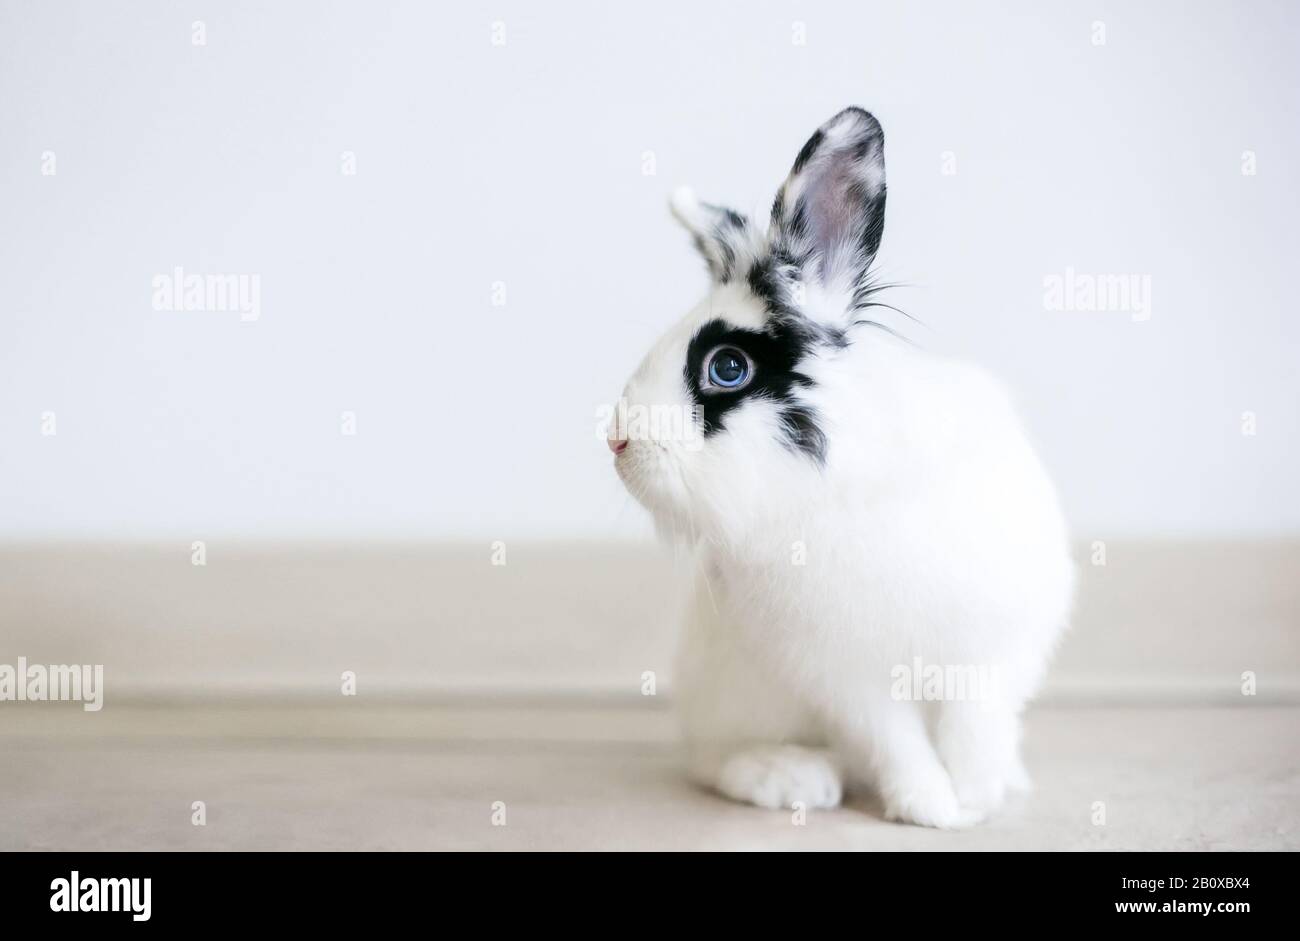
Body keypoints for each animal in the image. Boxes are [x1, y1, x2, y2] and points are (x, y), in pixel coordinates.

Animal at [608, 110, 1076, 826]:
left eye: (727, 367)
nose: (618, 441)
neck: (837, 485)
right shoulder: (845, 673)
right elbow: (896, 740)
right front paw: (931, 808)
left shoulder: (990, 645)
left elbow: (975, 723)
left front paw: (978, 795)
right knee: (711, 762)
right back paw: (790, 778)